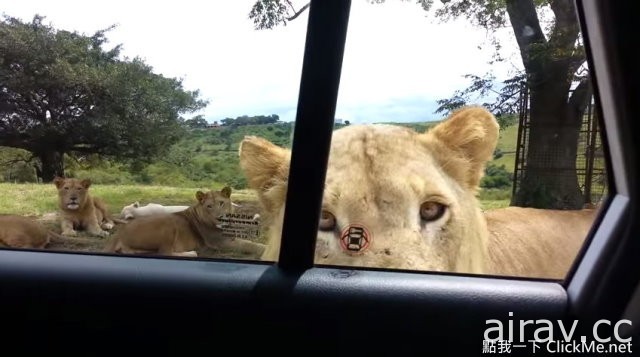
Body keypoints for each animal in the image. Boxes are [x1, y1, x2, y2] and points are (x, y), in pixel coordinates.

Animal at [104, 186, 264, 258]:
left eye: (221, 203)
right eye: (209, 206)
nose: (220, 218)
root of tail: (118, 234)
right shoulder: (220, 242)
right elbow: (250, 245)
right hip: (168, 225)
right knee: (164, 252)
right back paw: (192, 253)